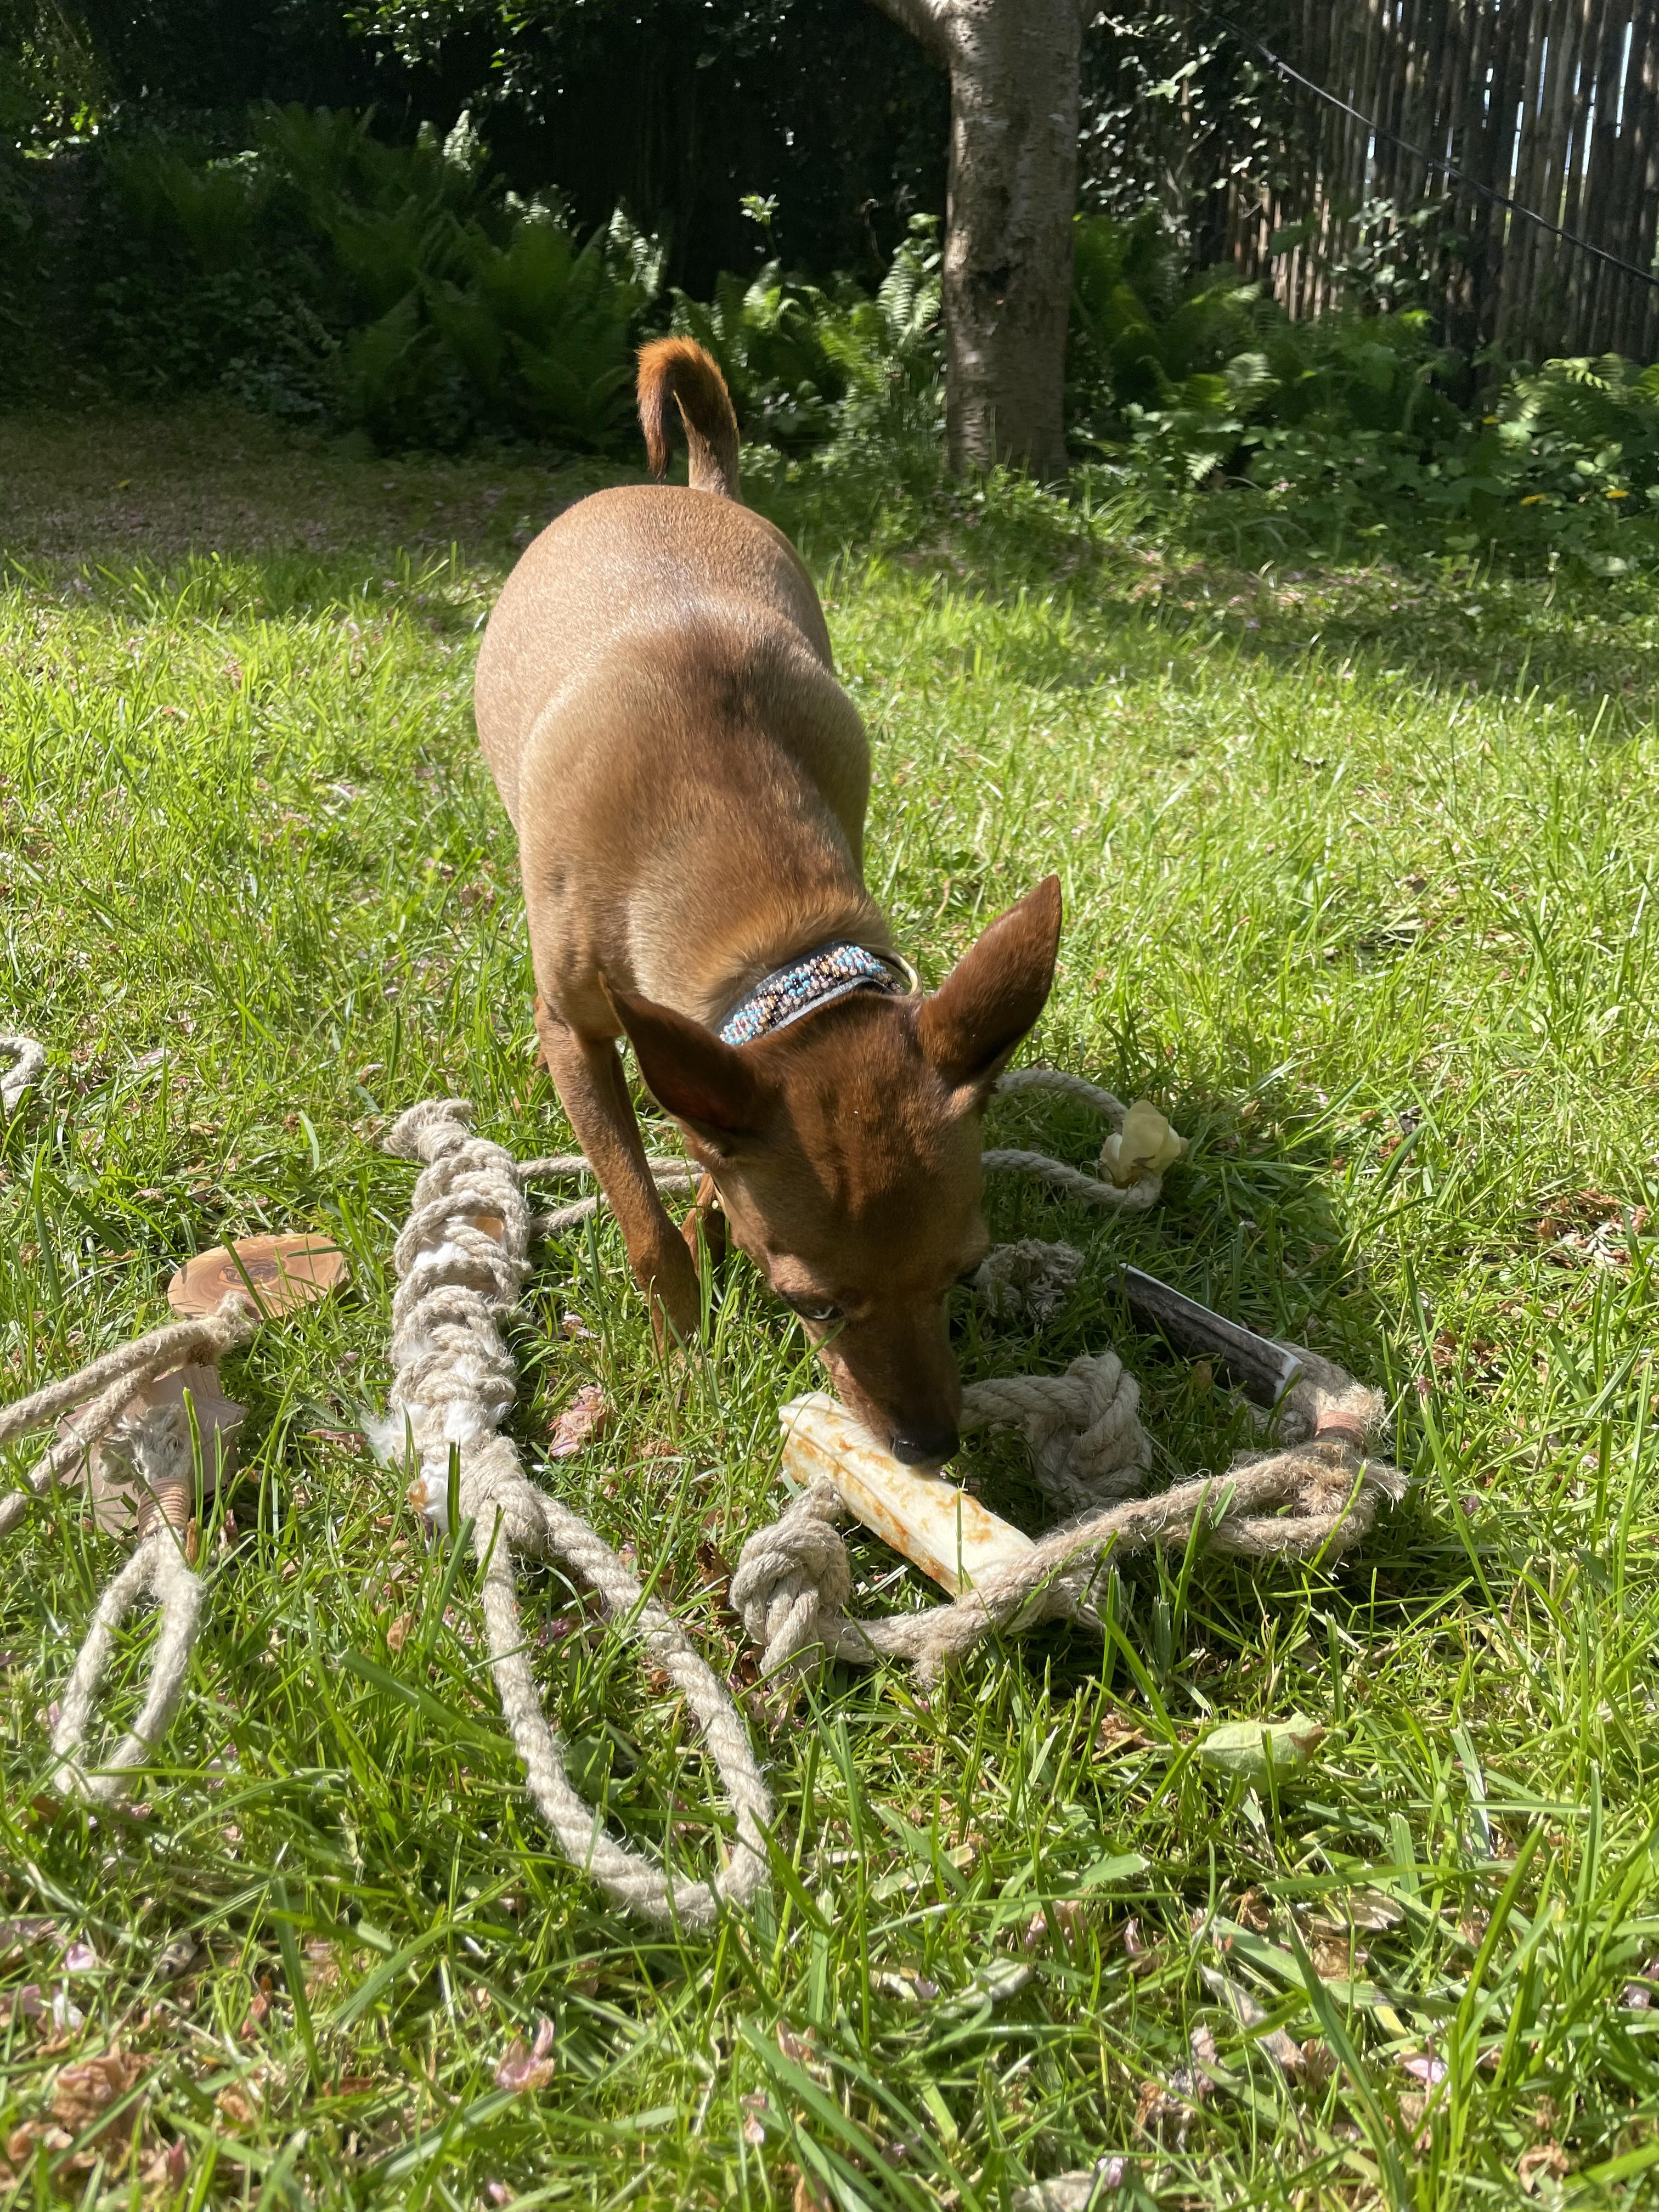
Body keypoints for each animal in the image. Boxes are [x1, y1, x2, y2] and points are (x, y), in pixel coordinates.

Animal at [473, 336, 1057, 1469]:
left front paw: (712, 1215)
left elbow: (705, 1148)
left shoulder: (716, 1053)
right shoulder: (573, 1034)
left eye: (963, 1273)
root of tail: (683, 489)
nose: (929, 1445)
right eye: (811, 1305)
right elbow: (643, 1224)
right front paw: (684, 1352)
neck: (774, 937)